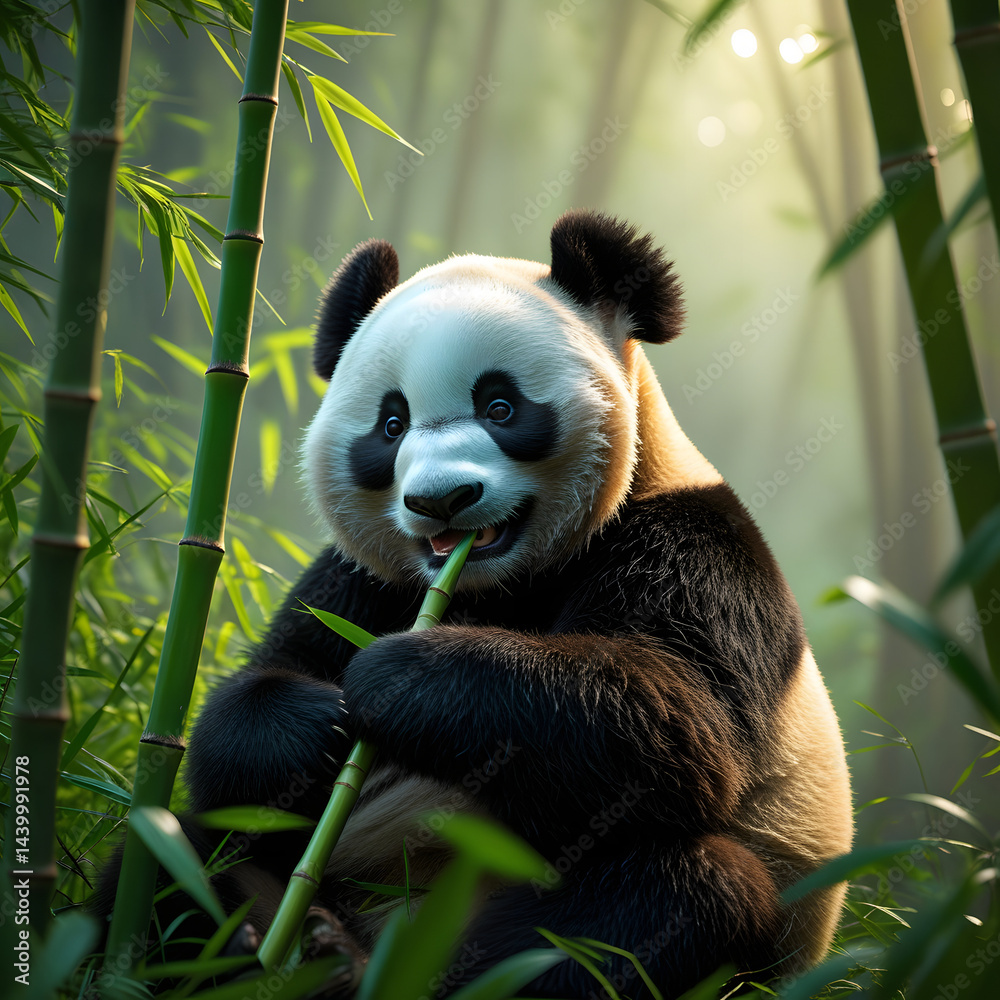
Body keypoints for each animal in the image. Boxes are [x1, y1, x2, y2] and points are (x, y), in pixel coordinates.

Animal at [179, 210, 853, 998]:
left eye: (499, 406)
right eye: (391, 424)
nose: (440, 501)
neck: (493, 584)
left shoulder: (692, 550)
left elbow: (673, 721)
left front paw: (397, 680)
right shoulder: (368, 580)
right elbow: (249, 710)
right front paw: (318, 724)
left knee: (663, 903)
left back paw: (356, 965)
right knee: (184, 854)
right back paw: (252, 946)